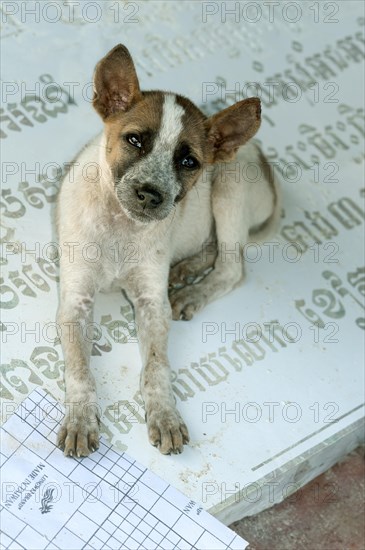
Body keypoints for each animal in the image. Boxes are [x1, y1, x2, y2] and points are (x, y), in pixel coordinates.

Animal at [56, 44, 278, 458]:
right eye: (134, 141)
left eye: (188, 161)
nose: (150, 195)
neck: (122, 227)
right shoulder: (75, 301)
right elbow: (79, 370)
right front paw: (80, 418)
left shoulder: (151, 303)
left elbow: (156, 367)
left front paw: (164, 415)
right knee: (215, 249)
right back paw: (187, 269)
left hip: (231, 182)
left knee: (232, 267)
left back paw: (193, 291)